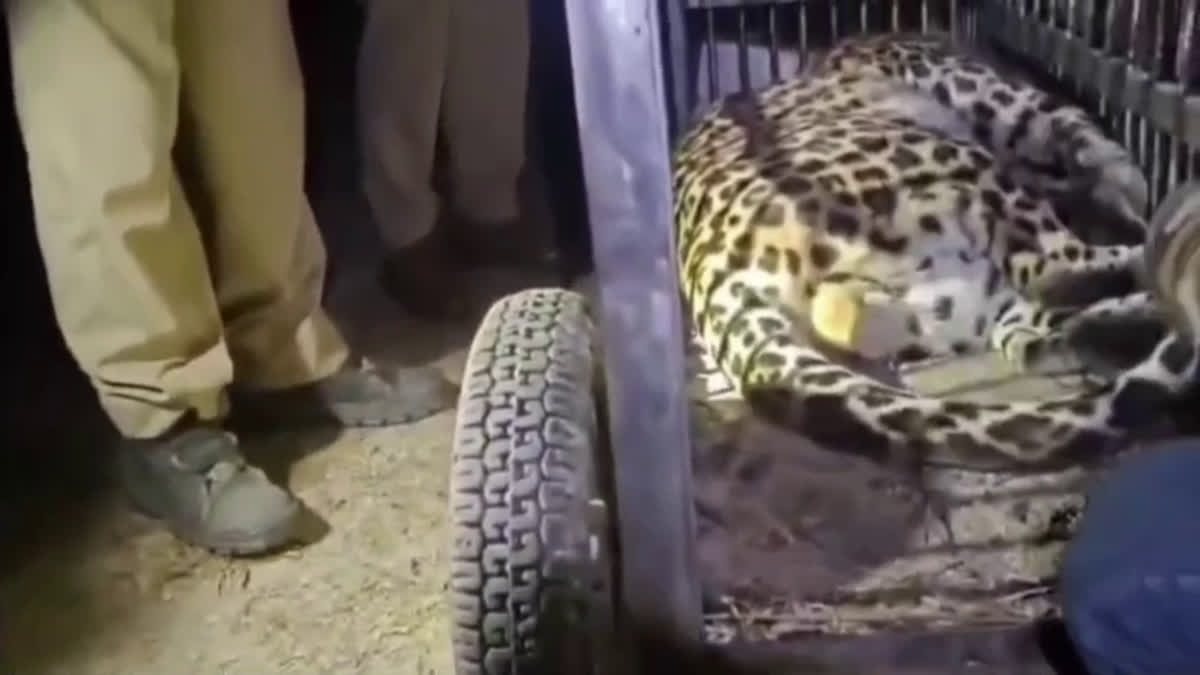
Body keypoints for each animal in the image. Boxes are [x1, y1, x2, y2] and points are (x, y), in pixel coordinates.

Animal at [673, 32, 1200, 473]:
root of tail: (713, 270)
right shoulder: (1000, 98)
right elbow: (1078, 132)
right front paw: (1121, 183)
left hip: (958, 299)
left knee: (1033, 333)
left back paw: (1118, 328)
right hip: (962, 171)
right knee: (1058, 269)